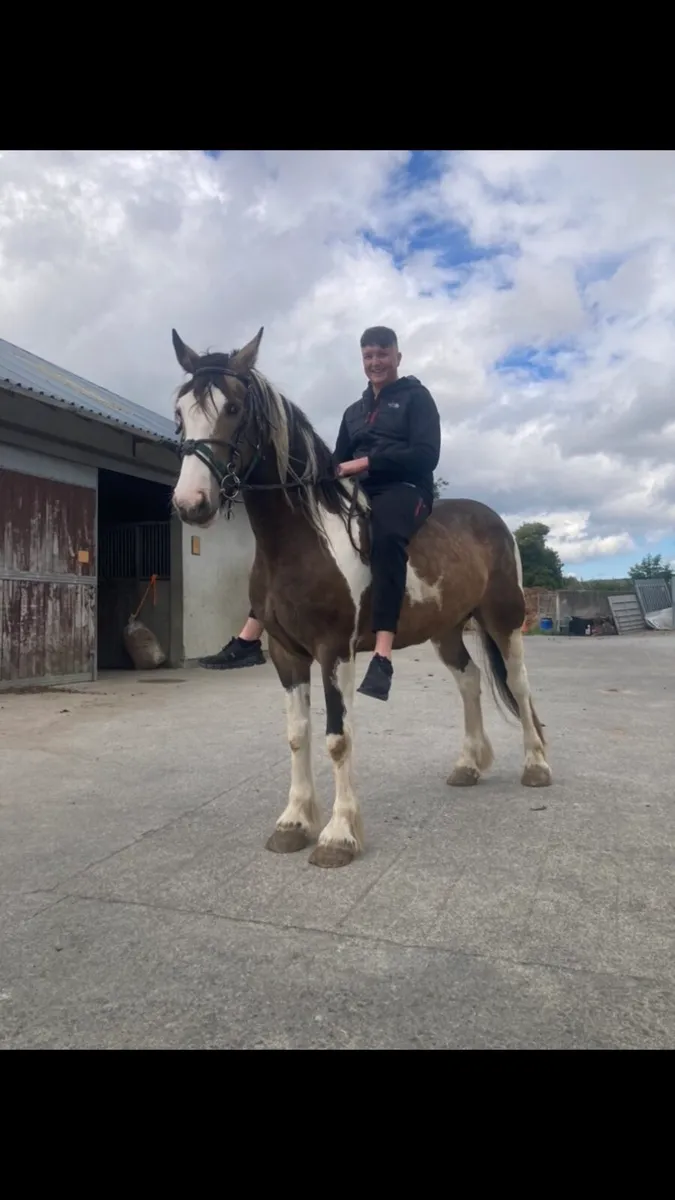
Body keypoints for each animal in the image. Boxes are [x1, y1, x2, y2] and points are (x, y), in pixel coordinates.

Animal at [170, 325, 552, 869]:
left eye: (234, 408)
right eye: (180, 412)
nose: (191, 504)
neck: (304, 538)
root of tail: (496, 521)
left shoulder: (335, 651)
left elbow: (337, 737)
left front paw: (338, 835)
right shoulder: (286, 653)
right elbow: (298, 736)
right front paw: (293, 823)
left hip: (503, 619)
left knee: (518, 685)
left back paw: (536, 765)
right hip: (447, 629)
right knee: (470, 680)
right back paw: (469, 764)